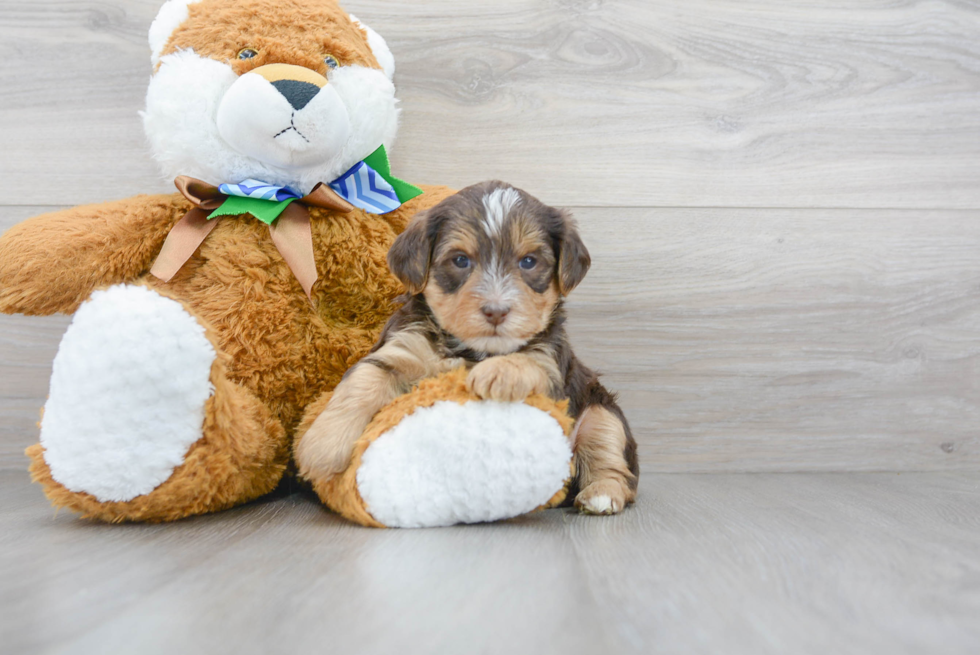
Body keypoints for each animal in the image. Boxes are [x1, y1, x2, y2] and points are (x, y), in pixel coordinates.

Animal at [294, 182, 640, 516]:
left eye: (529, 262)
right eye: (460, 260)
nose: (496, 311)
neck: (470, 350)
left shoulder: (551, 362)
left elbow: (527, 360)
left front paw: (499, 373)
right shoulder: (401, 347)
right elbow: (363, 381)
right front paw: (322, 446)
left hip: (602, 411)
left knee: (612, 462)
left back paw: (601, 495)